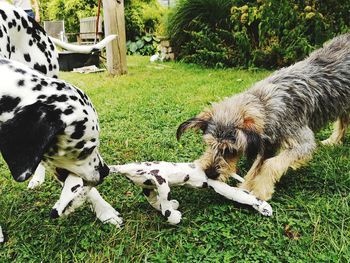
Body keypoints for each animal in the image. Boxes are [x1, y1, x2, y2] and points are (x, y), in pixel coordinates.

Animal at [178, 34, 350, 201]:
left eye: (231, 150)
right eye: (209, 144)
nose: (209, 173)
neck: (265, 104)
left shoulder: (303, 144)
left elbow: (270, 165)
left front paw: (260, 191)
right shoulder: (267, 146)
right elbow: (256, 167)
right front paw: (245, 189)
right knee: (343, 121)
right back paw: (333, 141)